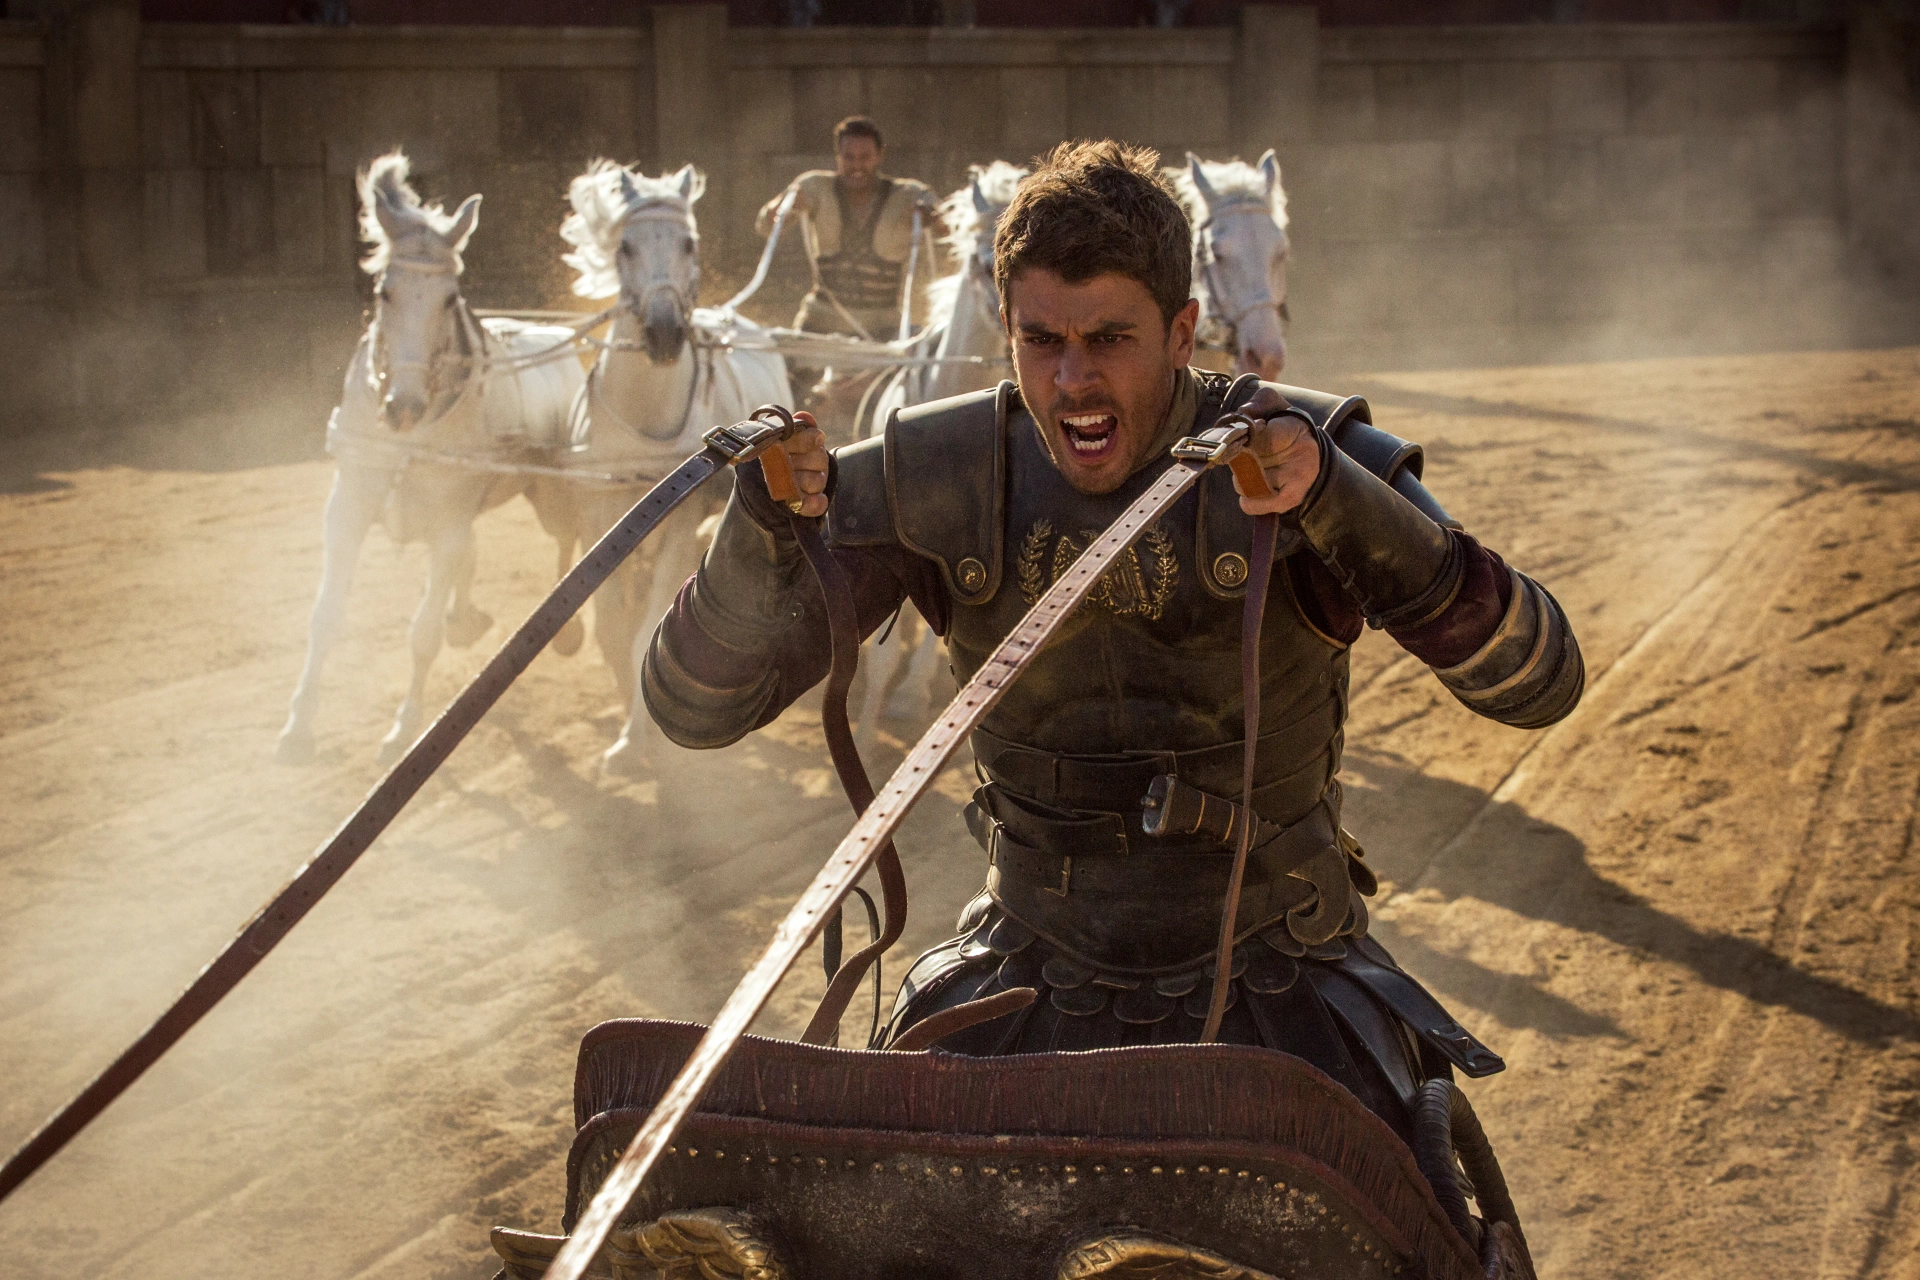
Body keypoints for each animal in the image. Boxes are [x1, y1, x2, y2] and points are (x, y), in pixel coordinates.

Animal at [274, 155, 579, 767]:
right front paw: (298, 726)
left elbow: (422, 633)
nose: (405, 407)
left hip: (550, 495)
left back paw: (563, 631)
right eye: (384, 291)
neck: (409, 441)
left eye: (449, 298)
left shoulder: (447, 522)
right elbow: (325, 617)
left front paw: (403, 728)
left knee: (568, 540)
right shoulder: (348, 508)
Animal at [556, 163, 794, 782]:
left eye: (689, 242)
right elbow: (613, 629)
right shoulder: (598, 516)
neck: (645, 411)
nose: (664, 333)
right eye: (624, 246)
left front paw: (639, 736)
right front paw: (630, 729)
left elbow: (646, 623)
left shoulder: (679, 522)